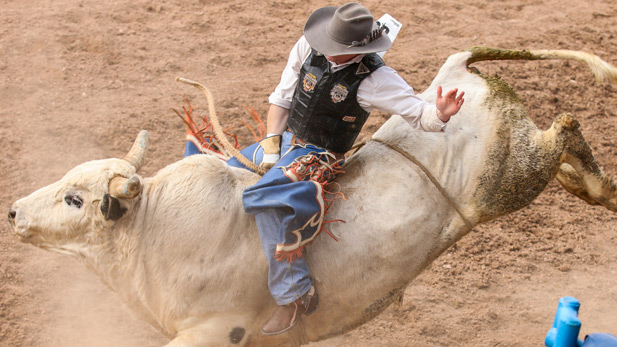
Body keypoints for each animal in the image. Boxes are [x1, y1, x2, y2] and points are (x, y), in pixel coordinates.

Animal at [8, 47, 616, 346]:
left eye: (75, 199)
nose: (13, 210)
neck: (153, 229)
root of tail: (459, 69)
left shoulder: (214, 330)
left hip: (508, 177)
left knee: (564, 126)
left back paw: (598, 188)